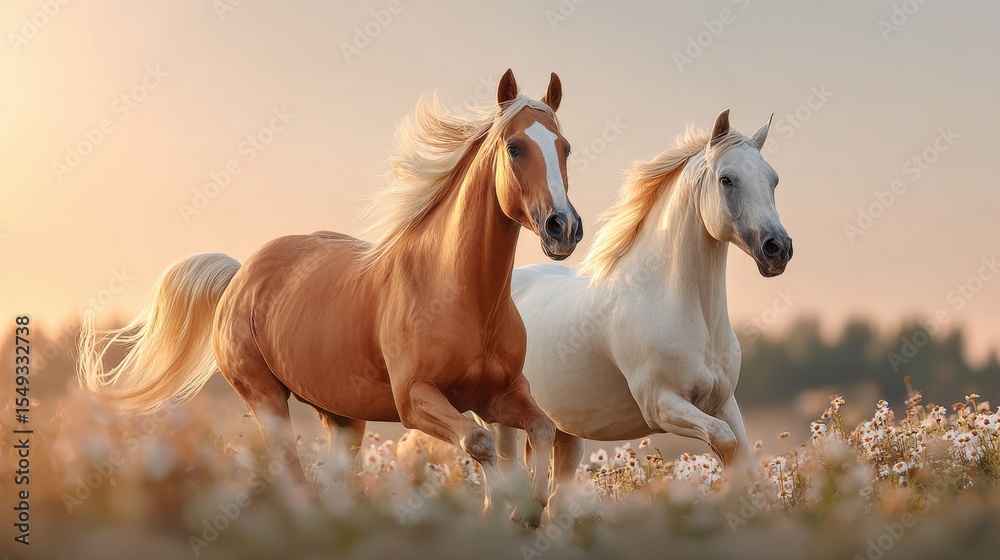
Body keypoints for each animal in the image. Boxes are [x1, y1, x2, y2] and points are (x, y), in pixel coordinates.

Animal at [77, 69, 583, 522]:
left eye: (565, 148)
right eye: (515, 147)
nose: (564, 227)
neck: (461, 294)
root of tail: (239, 277)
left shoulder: (499, 394)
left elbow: (541, 427)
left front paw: (533, 507)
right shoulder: (415, 399)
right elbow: (479, 442)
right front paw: (503, 509)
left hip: (341, 418)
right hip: (267, 401)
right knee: (293, 475)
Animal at [482, 110, 793, 511]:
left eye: (773, 180)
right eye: (726, 179)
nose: (778, 249)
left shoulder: (724, 402)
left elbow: (747, 461)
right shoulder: (660, 404)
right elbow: (725, 442)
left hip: (565, 432)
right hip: (502, 425)